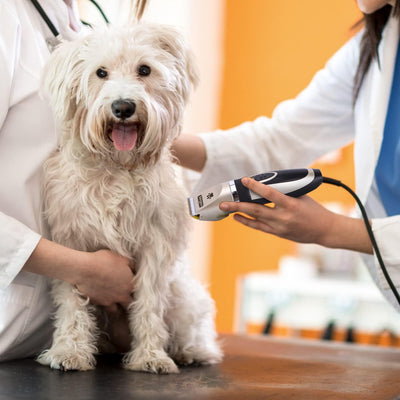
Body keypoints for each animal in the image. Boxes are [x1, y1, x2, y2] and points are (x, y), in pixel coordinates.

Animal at [37, 25, 222, 374]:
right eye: (101, 73)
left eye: (145, 70)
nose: (123, 107)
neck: (117, 167)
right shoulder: (72, 242)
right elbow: (72, 302)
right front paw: (70, 350)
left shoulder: (155, 246)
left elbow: (149, 305)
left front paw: (151, 355)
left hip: (183, 296)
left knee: (191, 327)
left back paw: (193, 351)